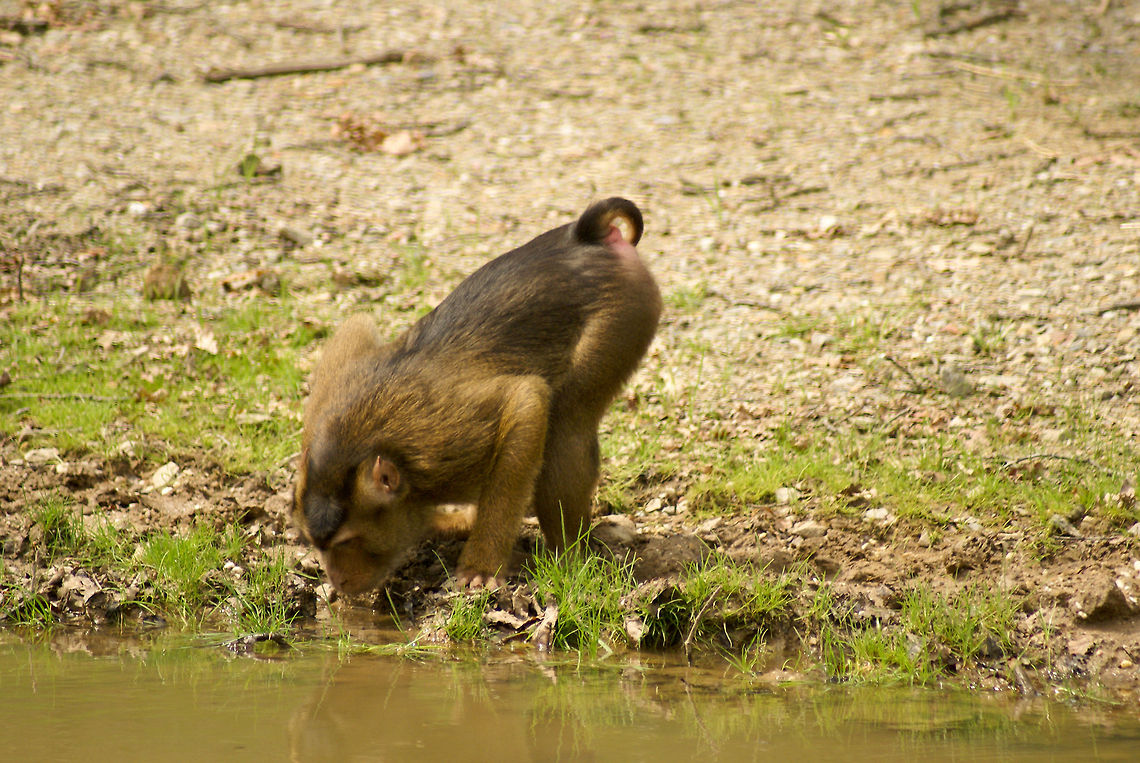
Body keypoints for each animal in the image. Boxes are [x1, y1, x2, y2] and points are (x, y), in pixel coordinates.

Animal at [293, 198, 661, 593]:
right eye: (318, 544)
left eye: (347, 543)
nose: (337, 581)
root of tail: (585, 238)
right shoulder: (329, 396)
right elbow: (357, 323)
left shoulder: (446, 443)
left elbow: (526, 399)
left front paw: (482, 565)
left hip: (623, 310)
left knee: (567, 419)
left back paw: (568, 554)